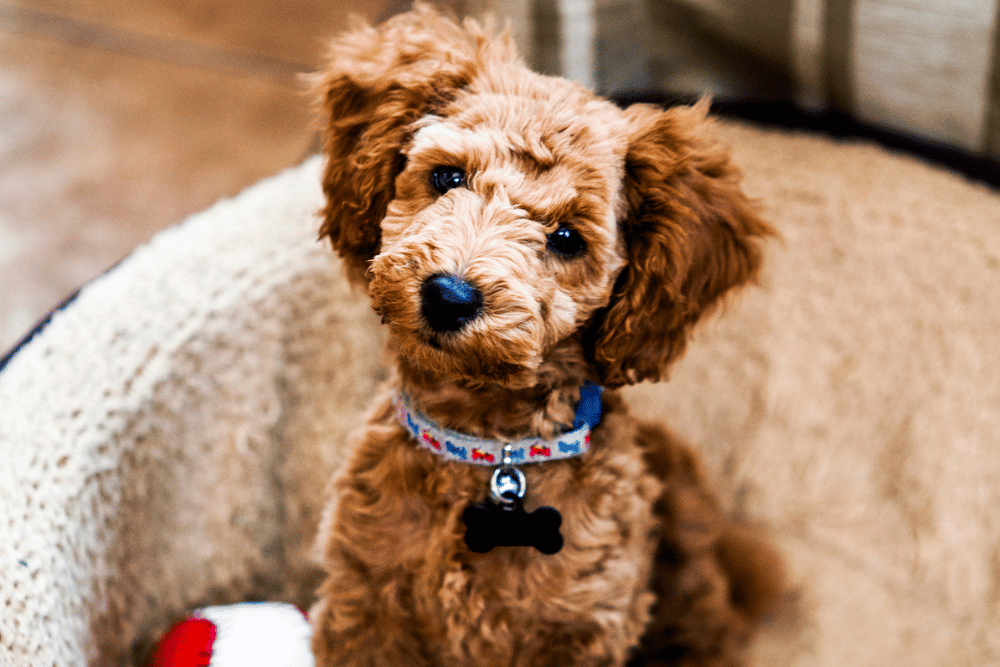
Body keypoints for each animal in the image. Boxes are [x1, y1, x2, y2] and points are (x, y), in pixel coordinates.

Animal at [310, 6, 780, 667]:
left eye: (566, 239)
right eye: (446, 176)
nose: (449, 295)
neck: (491, 453)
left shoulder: (579, 628)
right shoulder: (365, 602)